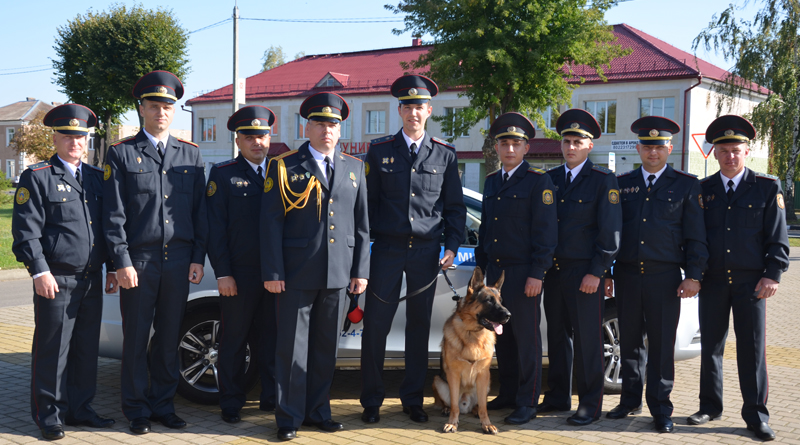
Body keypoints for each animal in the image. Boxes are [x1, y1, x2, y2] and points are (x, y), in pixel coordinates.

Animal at [434, 266, 510, 432]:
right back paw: (446, 409)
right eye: (488, 300)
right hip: (438, 381)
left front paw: (486, 424)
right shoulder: (453, 375)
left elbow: (483, 407)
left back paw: (475, 411)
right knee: (448, 403)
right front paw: (452, 423)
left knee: (479, 404)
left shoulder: (483, 374)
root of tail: (466, 404)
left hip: (486, 383)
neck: (472, 333)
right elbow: (454, 405)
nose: (509, 315)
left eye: (500, 301)